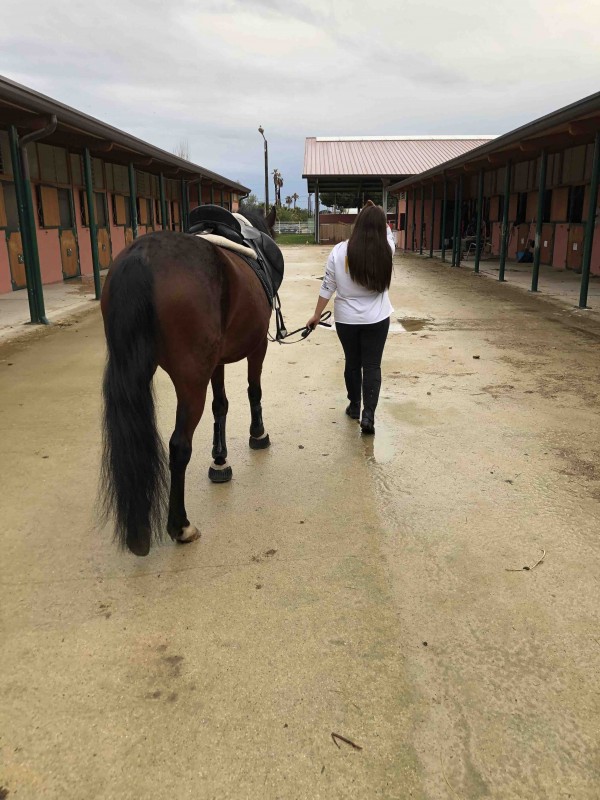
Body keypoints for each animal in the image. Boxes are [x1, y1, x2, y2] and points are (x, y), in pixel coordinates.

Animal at [99, 207, 278, 557]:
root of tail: (141, 256)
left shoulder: (216, 360)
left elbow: (221, 404)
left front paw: (220, 460)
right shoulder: (257, 347)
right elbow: (254, 390)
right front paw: (258, 434)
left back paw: (138, 533)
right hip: (191, 381)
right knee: (179, 446)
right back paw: (180, 526)